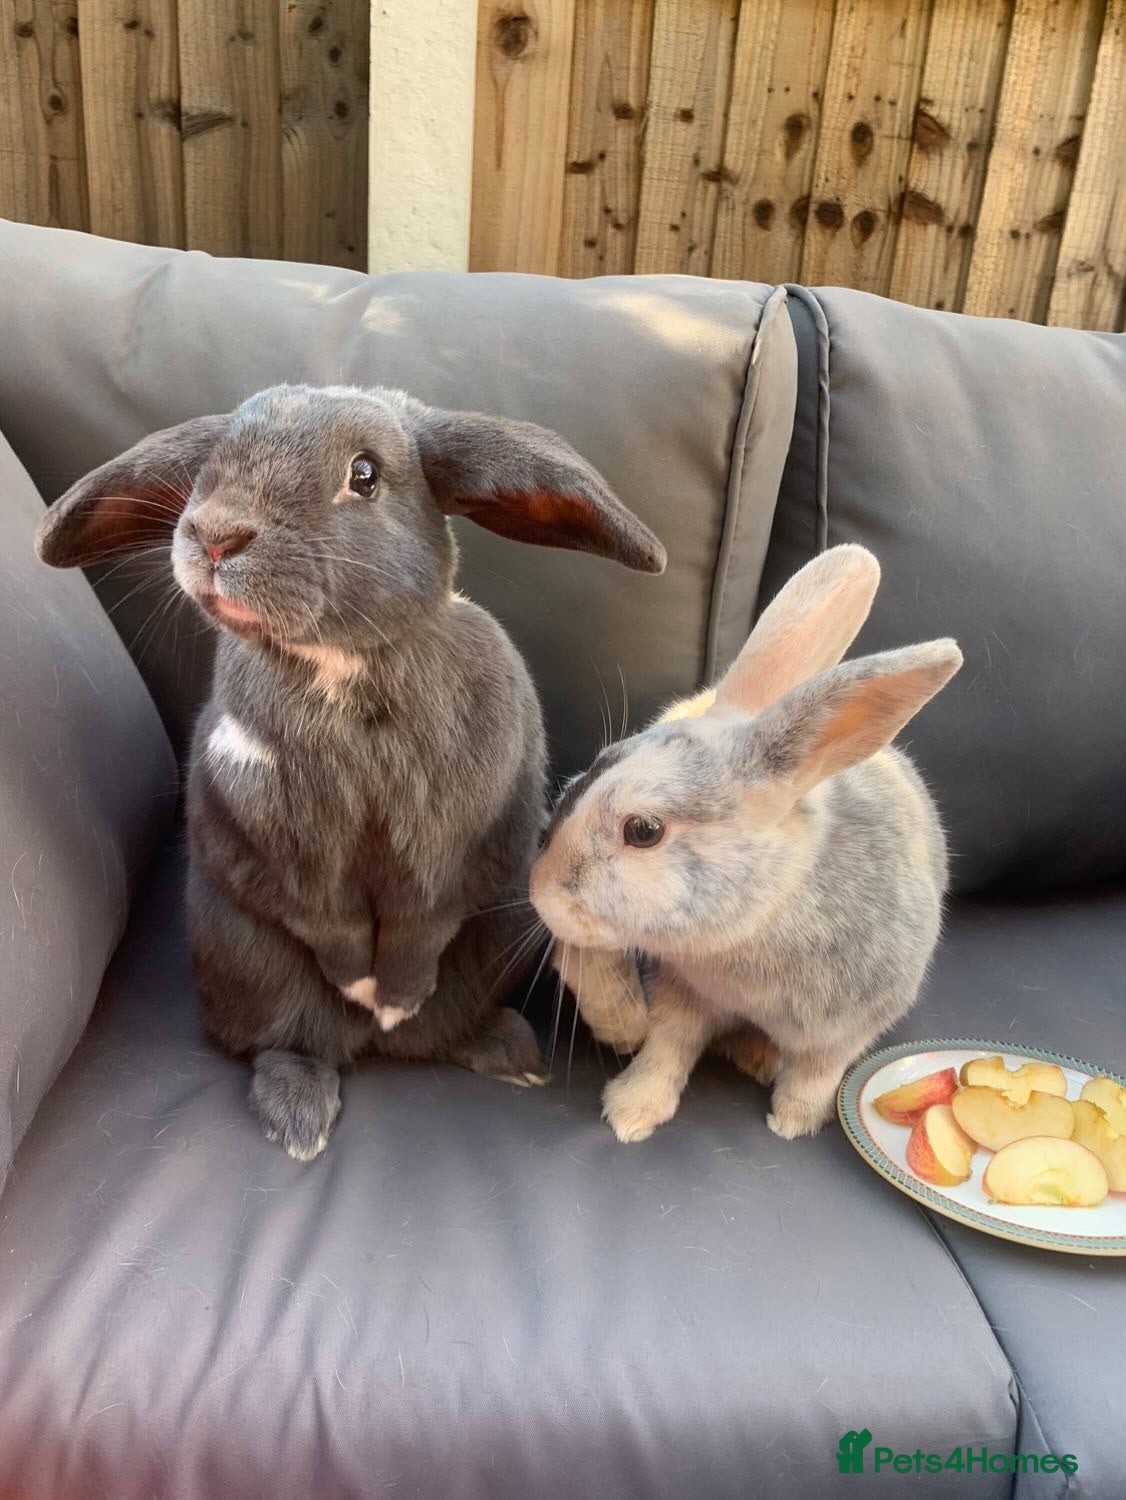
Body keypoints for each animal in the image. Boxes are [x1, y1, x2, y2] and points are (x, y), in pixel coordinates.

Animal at [36, 383, 665, 1159]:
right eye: (213, 461)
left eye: (364, 475)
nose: (215, 535)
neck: (340, 665)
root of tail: (377, 1051)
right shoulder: (283, 846)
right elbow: (327, 921)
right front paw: (364, 991)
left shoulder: (449, 849)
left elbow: (422, 923)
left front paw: (394, 997)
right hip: (244, 964)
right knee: (289, 1043)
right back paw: (300, 1118)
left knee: (444, 1028)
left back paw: (506, 1053)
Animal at [530, 544, 962, 1143]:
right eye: (595, 765)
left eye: (643, 831)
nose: (538, 890)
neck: (764, 921)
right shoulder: (683, 995)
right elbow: (667, 1047)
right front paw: (632, 1112)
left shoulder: (846, 1027)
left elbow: (816, 1074)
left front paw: (792, 1124)